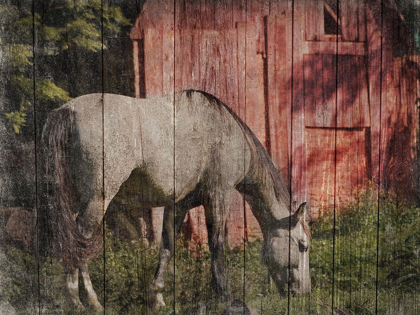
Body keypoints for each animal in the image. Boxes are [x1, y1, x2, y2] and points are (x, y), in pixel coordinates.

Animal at [41, 90, 310, 314]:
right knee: (80, 242)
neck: (223, 130)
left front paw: (157, 298)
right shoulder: (218, 195)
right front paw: (227, 297)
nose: (304, 292)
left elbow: (167, 247)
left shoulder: (177, 205)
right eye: (303, 246)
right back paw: (84, 301)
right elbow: (216, 245)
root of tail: (68, 112)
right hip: (97, 201)